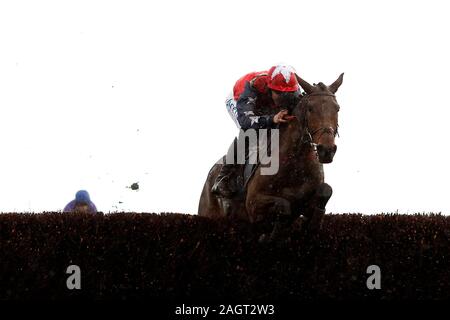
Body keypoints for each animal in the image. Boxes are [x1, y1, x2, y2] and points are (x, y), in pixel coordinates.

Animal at [198, 73, 344, 242]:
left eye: (337, 108)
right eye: (310, 108)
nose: (326, 150)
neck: (295, 165)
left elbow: (325, 191)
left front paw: (310, 225)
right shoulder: (253, 203)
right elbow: (284, 206)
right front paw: (271, 235)